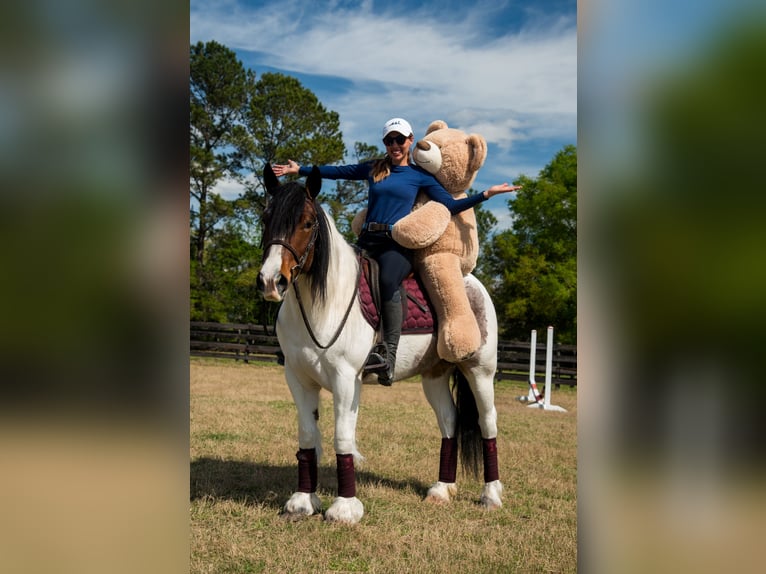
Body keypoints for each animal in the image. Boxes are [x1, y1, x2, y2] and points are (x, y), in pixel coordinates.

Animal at [255, 163, 504, 528]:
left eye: (308, 222)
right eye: (265, 218)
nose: (272, 281)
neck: (324, 304)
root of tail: (471, 283)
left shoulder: (346, 381)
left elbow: (342, 438)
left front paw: (344, 509)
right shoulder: (298, 379)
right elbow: (307, 437)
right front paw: (301, 502)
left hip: (480, 371)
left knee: (488, 423)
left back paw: (491, 495)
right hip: (434, 376)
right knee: (449, 423)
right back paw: (441, 490)